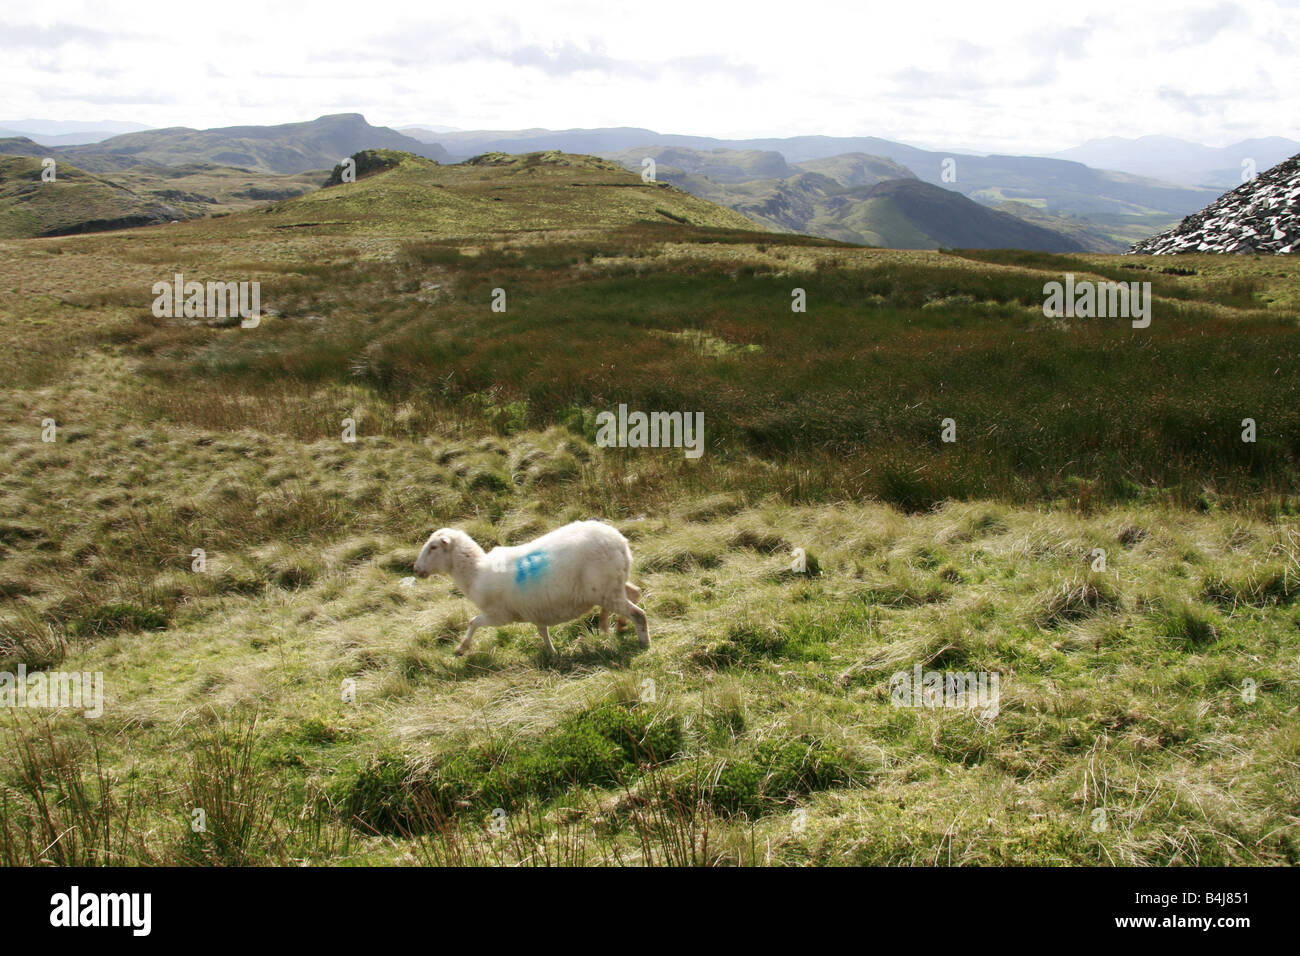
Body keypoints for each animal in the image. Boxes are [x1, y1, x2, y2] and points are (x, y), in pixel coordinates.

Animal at [413, 520, 649, 657]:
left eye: (433, 547)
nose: (416, 569)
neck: (475, 572)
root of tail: (621, 541)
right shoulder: (536, 607)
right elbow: (542, 630)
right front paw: (551, 653)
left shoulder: (498, 616)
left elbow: (473, 622)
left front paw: (461, 648)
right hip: (612, 585)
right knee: (635, 593)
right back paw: (617, 625)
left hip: (605, 590)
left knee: (639, 613)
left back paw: (643, 643)